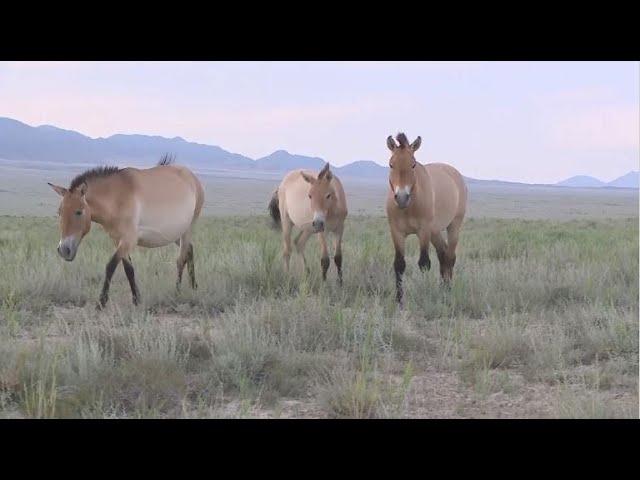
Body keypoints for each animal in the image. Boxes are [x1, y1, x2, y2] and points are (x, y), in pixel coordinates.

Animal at [48, 156, 204, 310]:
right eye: (59, 212)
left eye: (79, 212)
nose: (64, 250)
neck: (117, 198)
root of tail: (192, 177)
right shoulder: (118, 240)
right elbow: (129, 269)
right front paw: (136, 300)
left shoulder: (129, 240)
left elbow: (110, 266)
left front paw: (101, 302)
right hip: (176, 235)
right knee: (190, 250)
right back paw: (194, 286)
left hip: (187, 230)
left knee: (181, 259)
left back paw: (177, 292)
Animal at [382, 131, 468, 304]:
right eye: (391, 164)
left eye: (413, 164)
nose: (402, 198)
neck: (409, 207)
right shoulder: (396, 232)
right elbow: (399, 264)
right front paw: (399, 300)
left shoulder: (423, 231)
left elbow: (424, 263)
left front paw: (424, 294)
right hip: (434, 232)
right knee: (443, 254)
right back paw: (442, 289)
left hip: (453, 226)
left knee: (450, 256)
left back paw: (448, 290)